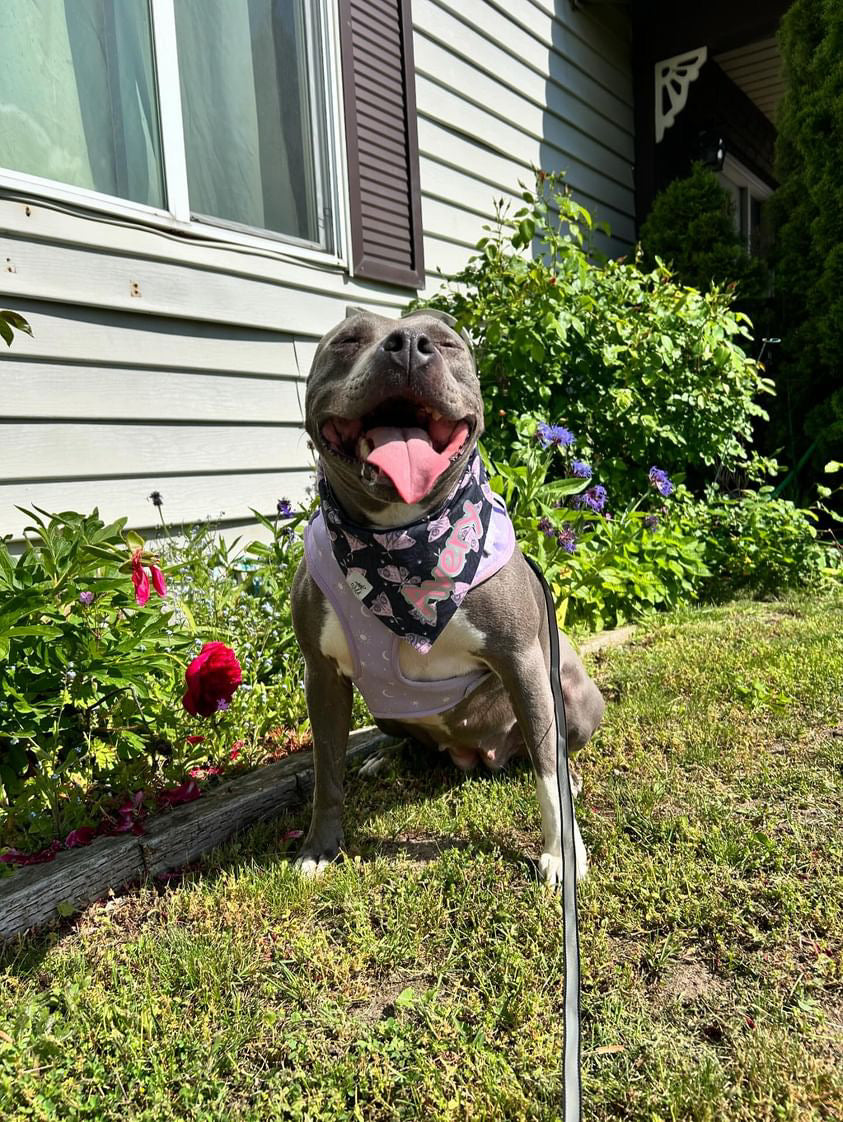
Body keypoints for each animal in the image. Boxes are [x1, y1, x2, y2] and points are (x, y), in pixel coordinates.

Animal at [291, 309, 606, 884]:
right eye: (348, 340)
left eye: (445, 342)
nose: (408, 344)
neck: (403, 547)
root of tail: (478, 755)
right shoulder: (321, 675)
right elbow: (327, 770)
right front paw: (320, 847)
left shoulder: (523, 662)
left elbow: (548, 775)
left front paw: (561, 851)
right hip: (384, 709)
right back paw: (384, 758)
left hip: (571, 691)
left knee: (552, 749)